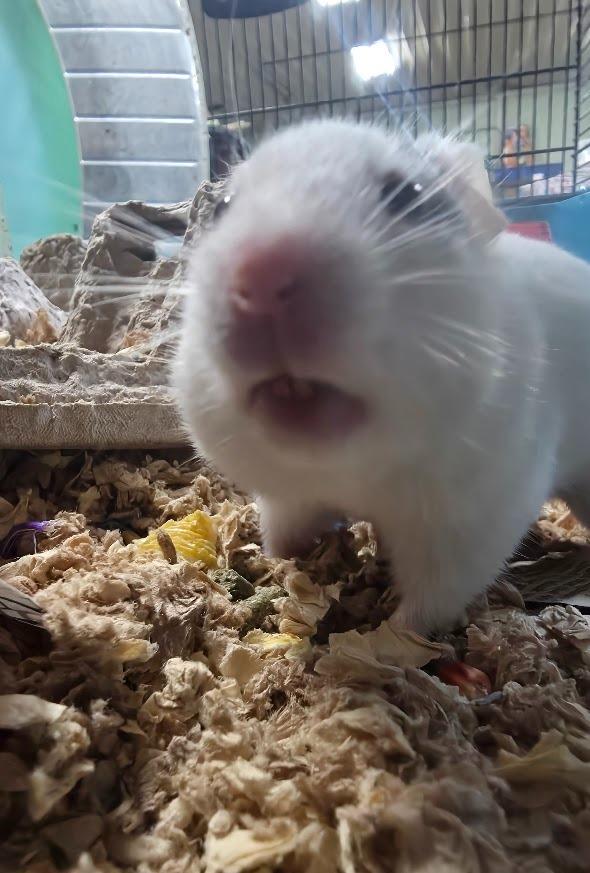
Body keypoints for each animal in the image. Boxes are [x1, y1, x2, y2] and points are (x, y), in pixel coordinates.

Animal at [173, 119, 590, 635]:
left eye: (407, 194)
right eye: (223, 208)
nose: (261, 273)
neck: (351, 469)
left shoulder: (476, 521)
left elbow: (432, 598)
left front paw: (392, 633)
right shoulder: (287, 497)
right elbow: (284, 530)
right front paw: (277, 563)